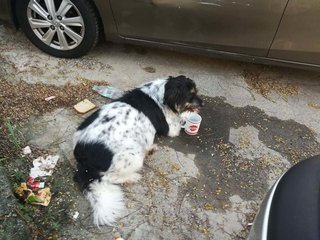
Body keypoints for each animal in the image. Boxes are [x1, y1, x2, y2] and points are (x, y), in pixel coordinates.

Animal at [73, 76, 202, 226]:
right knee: (109, 177)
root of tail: (82, 158)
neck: (161, 93)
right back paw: (132, 176)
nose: (202, 103)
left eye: (196, 91)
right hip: (133, 155)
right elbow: (180, 120)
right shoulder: (171, 128)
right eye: (190, 94)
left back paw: (149, 149)